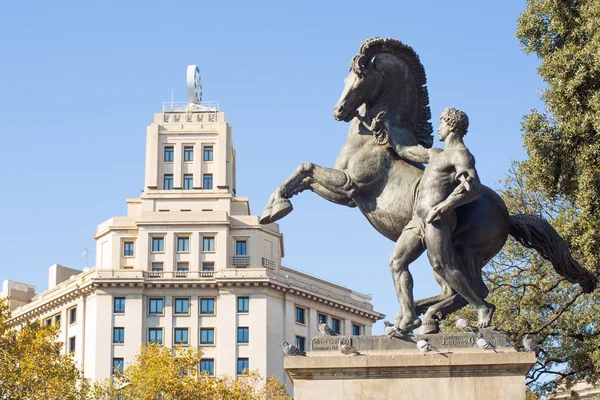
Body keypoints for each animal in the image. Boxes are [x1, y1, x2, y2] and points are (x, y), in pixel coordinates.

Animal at [260, 37, 596, 332]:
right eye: (346, 77)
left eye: (360, 76)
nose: (338, 111)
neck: (371, 141)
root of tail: (508, 215)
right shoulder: (347, 193)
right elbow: (305, 172)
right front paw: (275, 205)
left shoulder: (349, 188)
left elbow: (305, 168)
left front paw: (274, 208)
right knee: (453, 288)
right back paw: (418, 315)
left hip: (464, 250)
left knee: (474, 289)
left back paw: (430, 316)